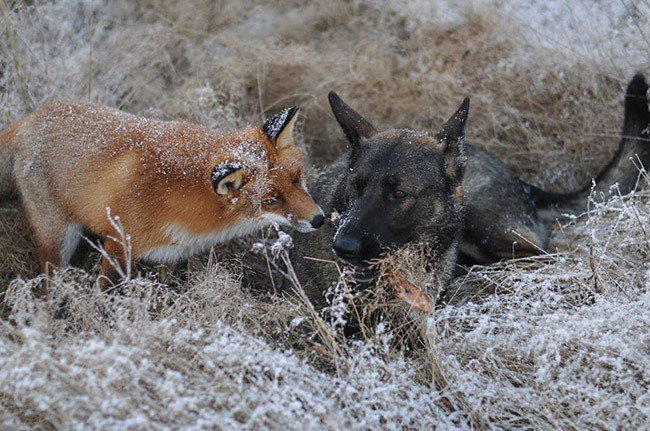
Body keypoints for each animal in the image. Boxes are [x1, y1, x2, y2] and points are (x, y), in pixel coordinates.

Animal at [0, 103, 324, 288]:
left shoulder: (176, 255)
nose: (319, 219)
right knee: (47, 286)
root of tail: (31, 118)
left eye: (297, 180)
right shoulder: (118, 243)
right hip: (57, 239)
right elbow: (105, 292)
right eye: (271, 200)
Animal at [290, 75, 648, 308]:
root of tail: (524, 185)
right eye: (355, 187)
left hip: (482, 222)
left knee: (544, 255)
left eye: (399, 194)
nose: (342, 247)